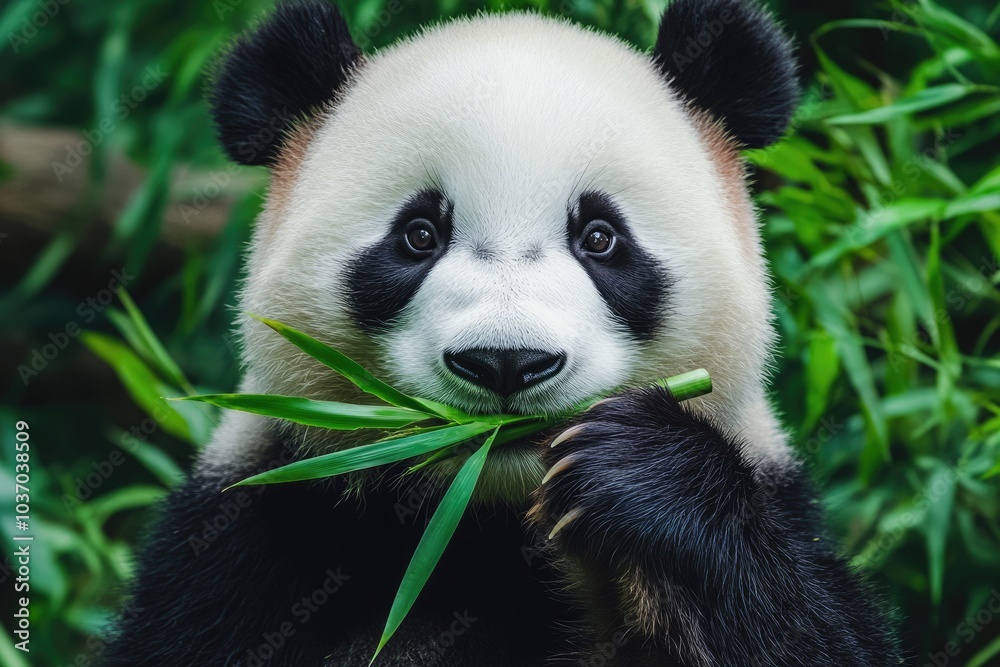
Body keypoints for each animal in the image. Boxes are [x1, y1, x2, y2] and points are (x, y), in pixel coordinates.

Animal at [103, 0, 904, 665]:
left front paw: (639, 468)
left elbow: (810, 631)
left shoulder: (774, 491)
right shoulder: (250, 530)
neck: (485, 516)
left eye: (601, 238)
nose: (506, 362)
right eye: (419, 234)